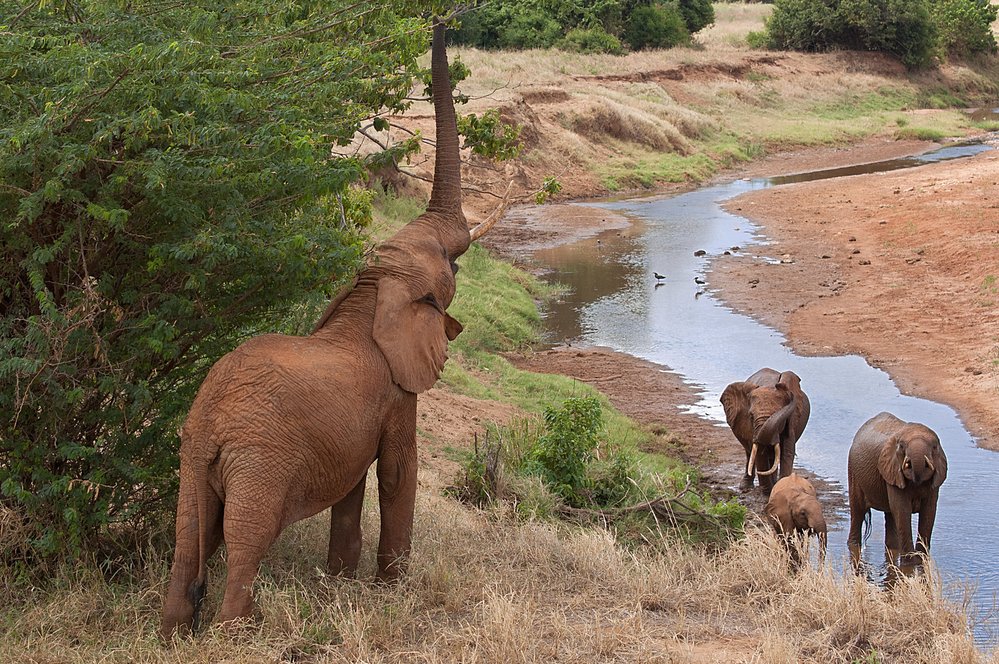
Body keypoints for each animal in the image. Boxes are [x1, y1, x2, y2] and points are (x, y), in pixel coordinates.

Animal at [160, 18, 496, 636]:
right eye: (452, 266)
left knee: (188, 537)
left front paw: (339, 584)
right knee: (246, 540)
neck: (370, 293)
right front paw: (392, 591)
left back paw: (174, 631)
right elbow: (397, 474)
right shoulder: (396, 395)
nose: (442, 22)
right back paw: (236, 632)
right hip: (260, 461)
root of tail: (212, 423)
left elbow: (354, 485)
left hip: (192, 459)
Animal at [848, 412, 948, 568]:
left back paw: (892, 549)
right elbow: (902, 509)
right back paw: (853, 547)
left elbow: (929, 511)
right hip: (853, 471)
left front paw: (921, 562)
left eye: (934, 447)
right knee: (857, 511)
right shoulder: (893, 470)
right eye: (901, 446)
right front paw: (910, 565)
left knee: (890, 515)